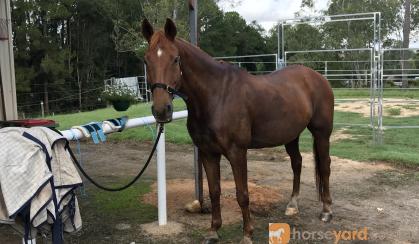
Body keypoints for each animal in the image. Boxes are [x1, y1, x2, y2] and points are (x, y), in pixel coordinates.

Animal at [141, 19, 334, 244]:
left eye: (175, 59)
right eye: (146, 60)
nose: (161, 110)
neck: (217, 96)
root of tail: (317, 77)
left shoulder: (237, 152)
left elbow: (242, 194)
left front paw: (247, 234)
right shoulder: (207, 153)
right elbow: (214, 191)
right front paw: (213, 231)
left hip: (322, 132)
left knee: (325, 166)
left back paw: (327, 211)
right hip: (291, 135)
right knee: (297, 163)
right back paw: (292, 205)